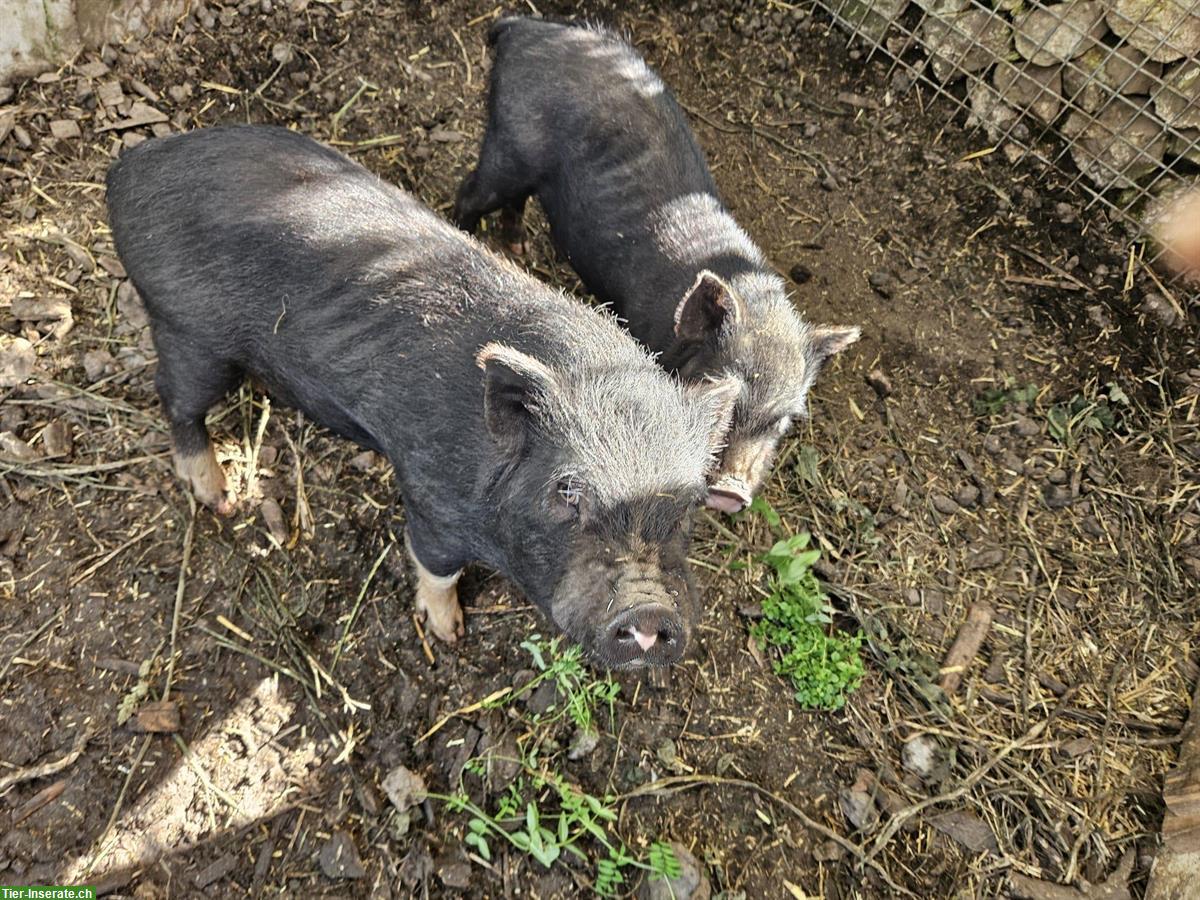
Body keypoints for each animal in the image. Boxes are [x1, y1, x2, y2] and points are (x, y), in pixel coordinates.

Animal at [105, 127, 739, 672]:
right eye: (567, 492)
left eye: (689, 505)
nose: (650, 610)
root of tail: (129, 169)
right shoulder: (432, 500)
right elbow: (436, 569)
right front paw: (449, 635)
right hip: (189, 332)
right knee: (175, 400)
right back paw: (218, 498)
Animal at [451, 17, 864, 513]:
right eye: (724, 390)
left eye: (782, 418)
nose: (730, 492)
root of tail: (525, 27)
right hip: (506, 147)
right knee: (470, 192)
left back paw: (517, 249)